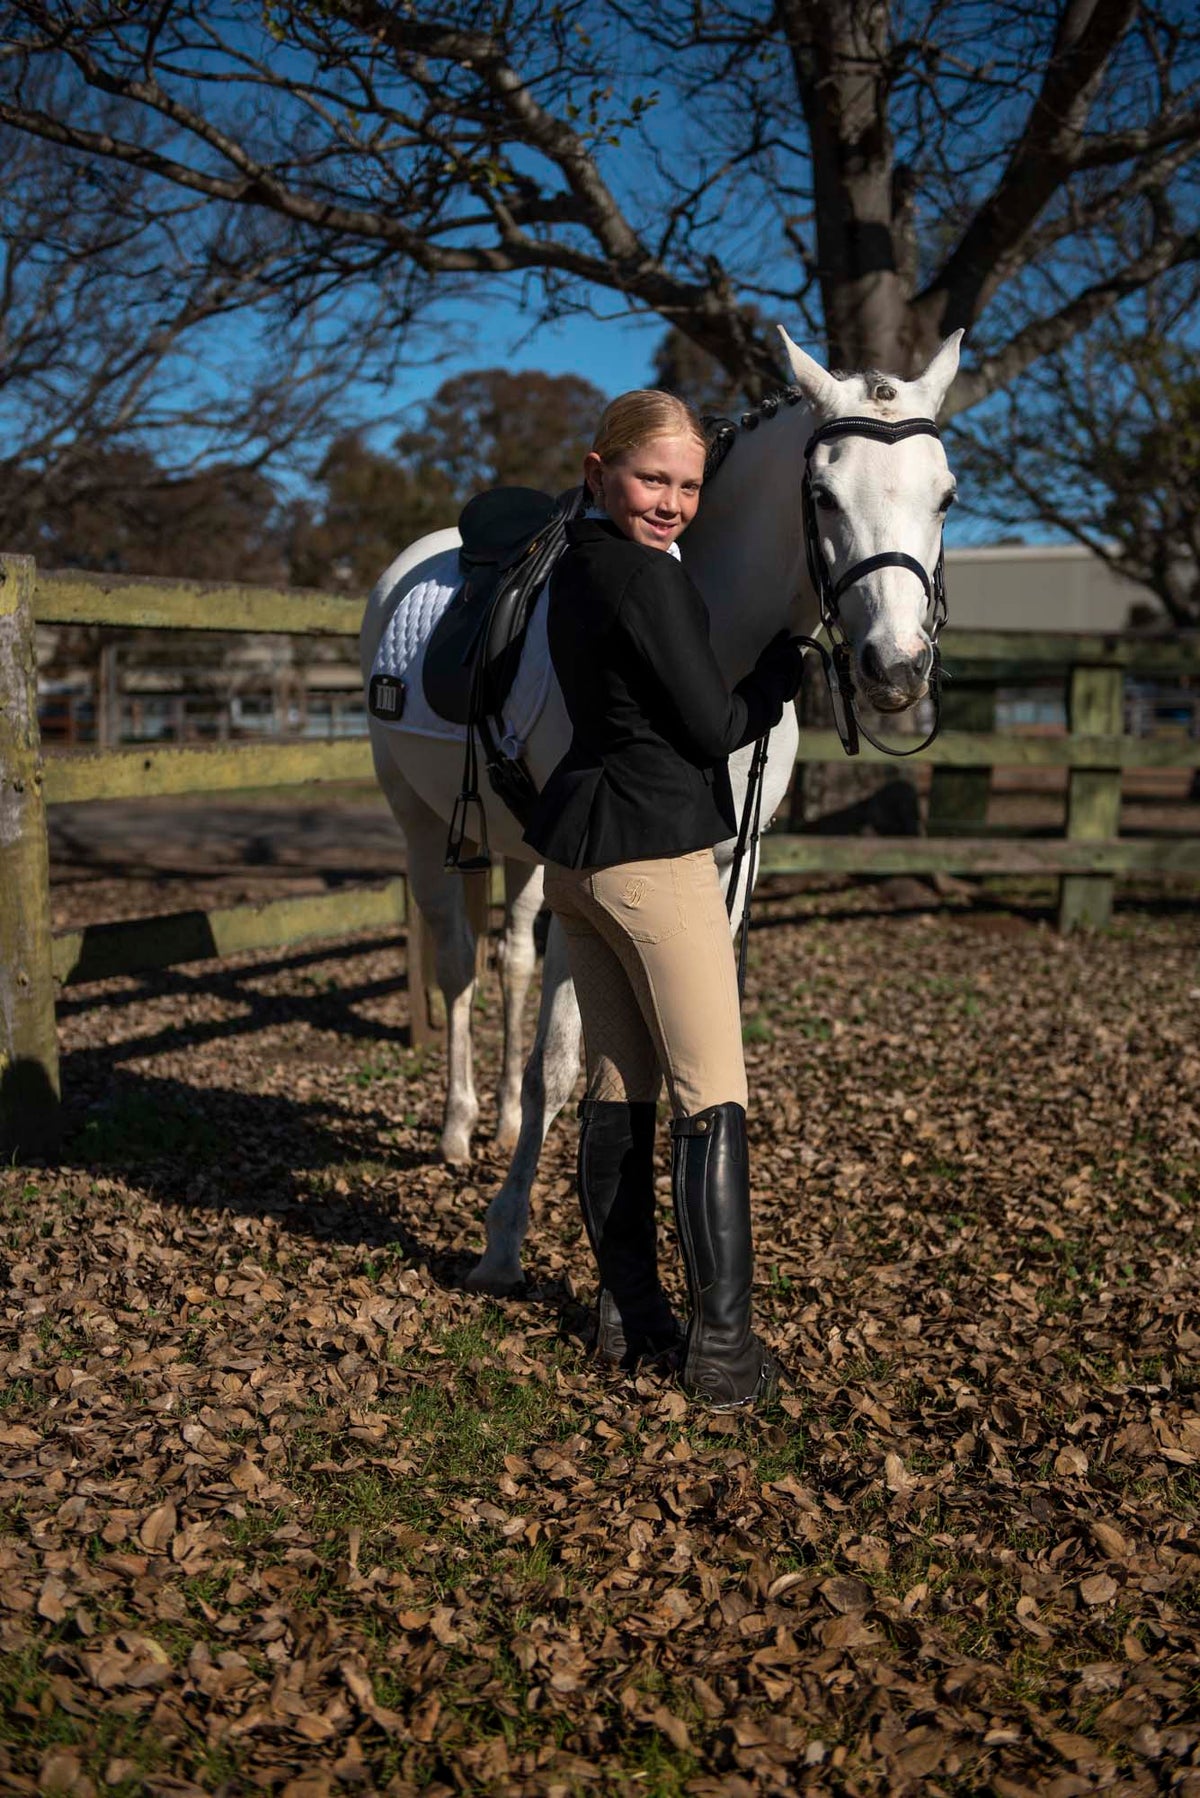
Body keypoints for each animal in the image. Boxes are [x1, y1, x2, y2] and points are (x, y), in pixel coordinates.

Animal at [359, 328, 962, 1293]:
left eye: (945, 496)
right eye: (823, 496)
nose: (896, 668)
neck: (710, 651)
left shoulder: (724, 868)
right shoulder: (593, 867)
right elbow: (563, 1060)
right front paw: (503, 1239)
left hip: (524, 853)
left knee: (511, 961)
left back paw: (497, 1118)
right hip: (418, 824)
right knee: (455, 965)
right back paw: (458, 1127)